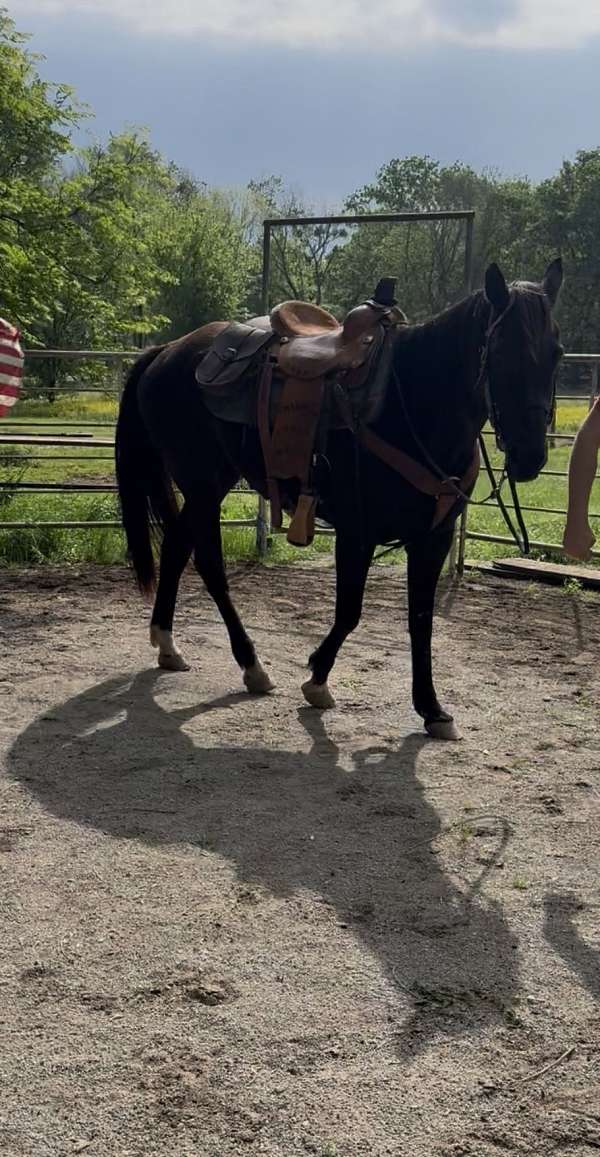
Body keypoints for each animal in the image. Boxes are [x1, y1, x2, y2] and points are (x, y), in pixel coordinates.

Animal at [115, 258, 563, 739]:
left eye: (556, 352)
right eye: (499, 350)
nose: (530, 455)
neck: (411, 402)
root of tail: (167, 350)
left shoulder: (433, 538)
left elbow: (421, 621)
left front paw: (432, 708)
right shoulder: (356, 532)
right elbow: (350, 610)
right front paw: (317, 678)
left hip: (206, 486)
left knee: (177, 548)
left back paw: (167, 644)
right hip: (202, 484)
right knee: (209, 565)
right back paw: (252, 666)